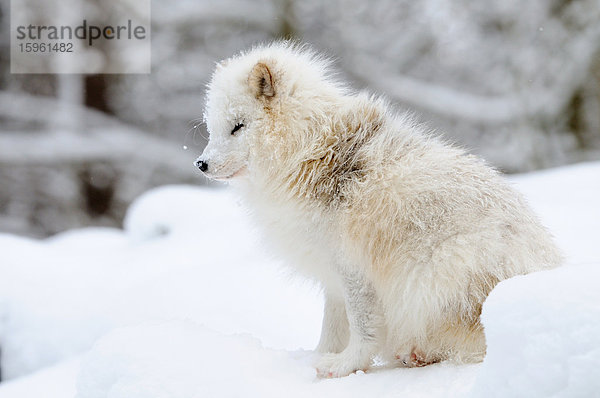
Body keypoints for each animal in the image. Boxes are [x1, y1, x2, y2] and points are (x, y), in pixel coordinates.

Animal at [196, 42, 564, 378]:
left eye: (238, 126)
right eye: (213, 128)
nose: (201, 164)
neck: (311, 151)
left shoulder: (353, 268)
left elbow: (363, 329)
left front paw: (344, 367)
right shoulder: (332, 277)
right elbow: (331, 330)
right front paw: (316, 359)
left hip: (436, 273)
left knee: (470, 346)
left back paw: (418, 354)